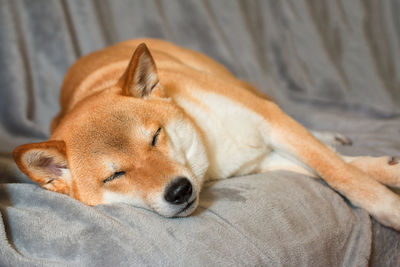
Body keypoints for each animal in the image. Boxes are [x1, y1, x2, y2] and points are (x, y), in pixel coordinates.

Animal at [12, 38, 400, 231]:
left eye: (155, 137)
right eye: (115, 175)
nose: (179, 191)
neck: (209, 149)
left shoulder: (270, 120)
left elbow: (343, 173)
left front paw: (389, 205)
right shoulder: (266, 160)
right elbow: (337, 171)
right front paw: (386, 171)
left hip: (246, 88)